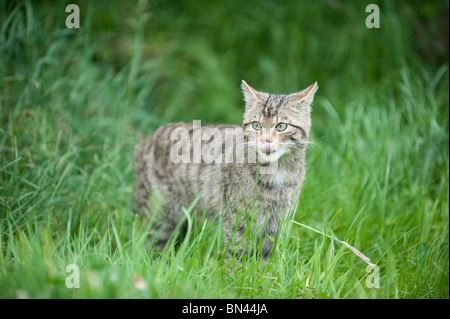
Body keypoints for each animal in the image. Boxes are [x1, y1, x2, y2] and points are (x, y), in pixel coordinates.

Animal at [134, 81, 316, 266]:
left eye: (281, 126)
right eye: (256, 125)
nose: (266, 141)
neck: (276, 172)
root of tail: (145, 140)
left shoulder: (275, 222)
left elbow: (265, 256)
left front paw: (262, 272)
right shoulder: (239, 220)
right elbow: (239, 254)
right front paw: (238, 273)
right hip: (160, 216)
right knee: (149, 244)